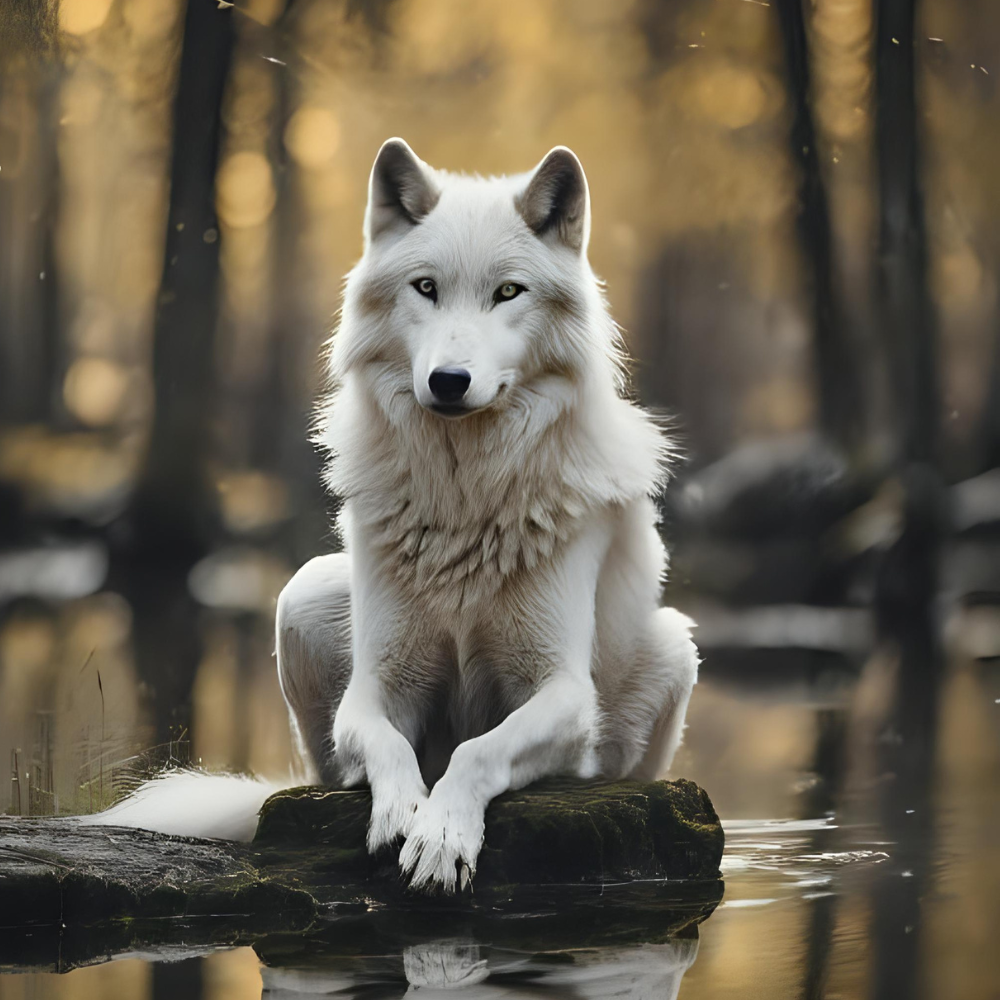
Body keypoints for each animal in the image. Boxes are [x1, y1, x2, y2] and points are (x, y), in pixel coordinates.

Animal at [87, 140, 698, 893]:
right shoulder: (378, 685)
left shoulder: (563, 693)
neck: (466, 502)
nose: (448, 382)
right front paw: (407, 813)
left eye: (508, 292)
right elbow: (385, 747)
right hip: (304, 595)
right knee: (330, 770)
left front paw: (442, 836)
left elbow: (477, 750)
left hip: (673, 646)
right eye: (426, 288)